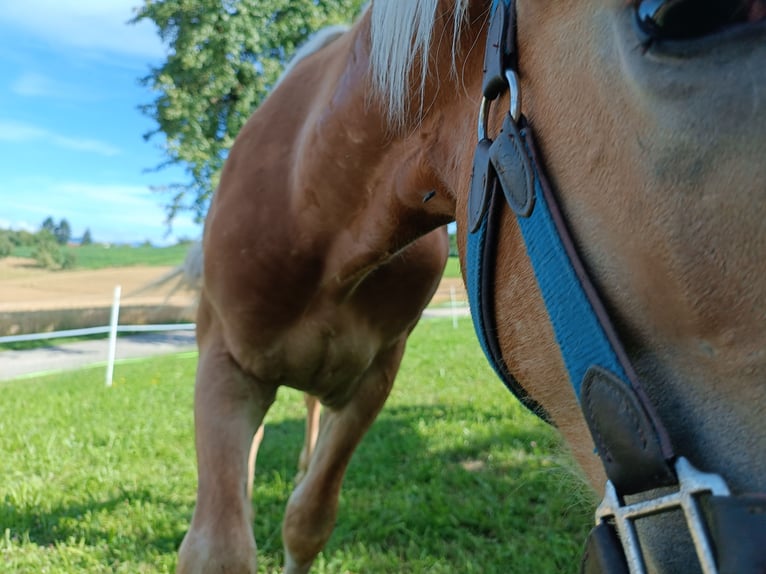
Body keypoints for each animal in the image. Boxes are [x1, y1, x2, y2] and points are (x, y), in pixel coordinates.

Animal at [178, 1, 766, 574]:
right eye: (679, 15)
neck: (310, 207)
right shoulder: (225, 371)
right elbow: (217, 551)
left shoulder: (375, 379)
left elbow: (308, 521)